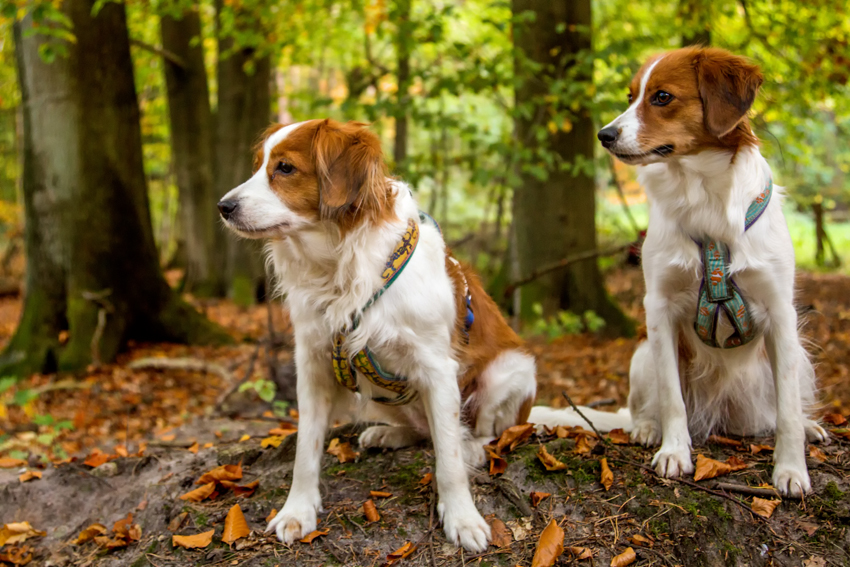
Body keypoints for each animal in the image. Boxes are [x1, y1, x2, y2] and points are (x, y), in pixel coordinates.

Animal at [219, 118, 536, 552]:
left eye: (284, 168)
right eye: (258, 166)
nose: (223, 207)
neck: (339, 267)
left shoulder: (438, 369)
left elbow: (449, 459)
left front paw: (462, 517)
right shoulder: (314, 364)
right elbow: (305, 449)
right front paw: (297, 510)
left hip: (509, 369)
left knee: (489, 433)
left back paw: (470, 444)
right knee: (421, 431)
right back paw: (389, 434)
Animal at [528, 48, 824, 496]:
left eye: (662, 97)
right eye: (631, 96)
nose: (604, 135)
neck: (703, 195)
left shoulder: (779, 311)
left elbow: (787, 408)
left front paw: (791, 469)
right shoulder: (660, 308)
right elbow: (672, 398)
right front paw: (674, 452)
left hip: (801, 358)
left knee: (777, 410)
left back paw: (809, 426)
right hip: (642, 355)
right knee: (645, 407)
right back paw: (646, 428)